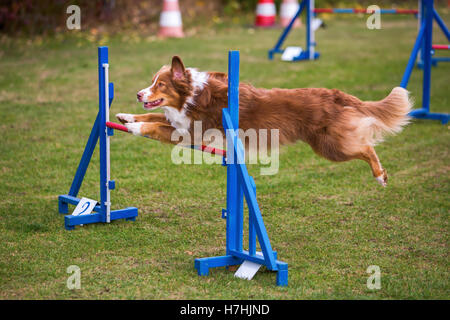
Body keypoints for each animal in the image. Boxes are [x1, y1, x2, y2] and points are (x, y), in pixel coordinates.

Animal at [116, 56, 412, 186]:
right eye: (152, 82)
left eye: (161, 85)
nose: (138, 93)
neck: (192, 95)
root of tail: (336, 94)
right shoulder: (180, 121)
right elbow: (154, 114)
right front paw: (125, 116)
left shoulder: (192, 133)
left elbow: (156, 125)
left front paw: (135, 127)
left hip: (331, 146)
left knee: (367, 147)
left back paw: (380, 176)